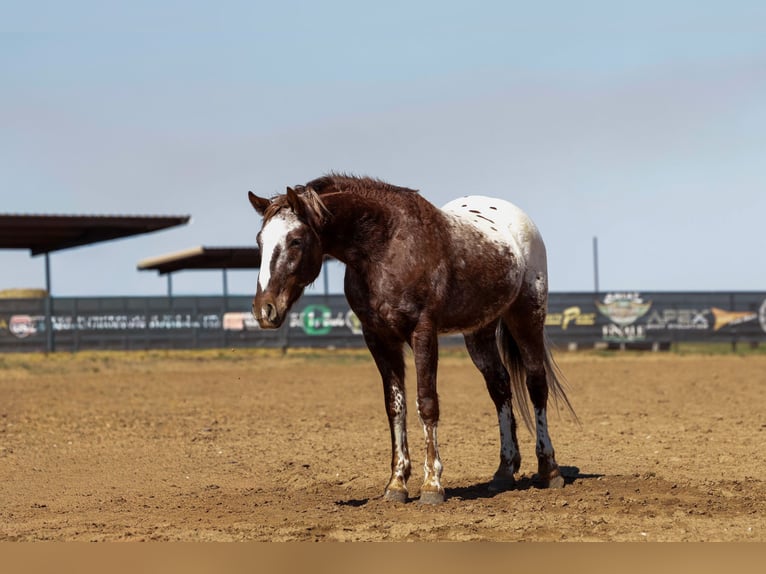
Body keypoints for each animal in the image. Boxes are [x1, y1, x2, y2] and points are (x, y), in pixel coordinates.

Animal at [247, 174, 576, 504]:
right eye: (260, 241)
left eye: (295, 240)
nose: (264, 310)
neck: (385, 247)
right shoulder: (378, 338)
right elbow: (395, 406)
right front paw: (396, 484)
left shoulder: (423, 333)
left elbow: (426, 403)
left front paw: (432, 485)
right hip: (479, 331)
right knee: (500, 387)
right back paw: (504, 471)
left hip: (527, 315)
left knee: (536, 384)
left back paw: (549, 470)